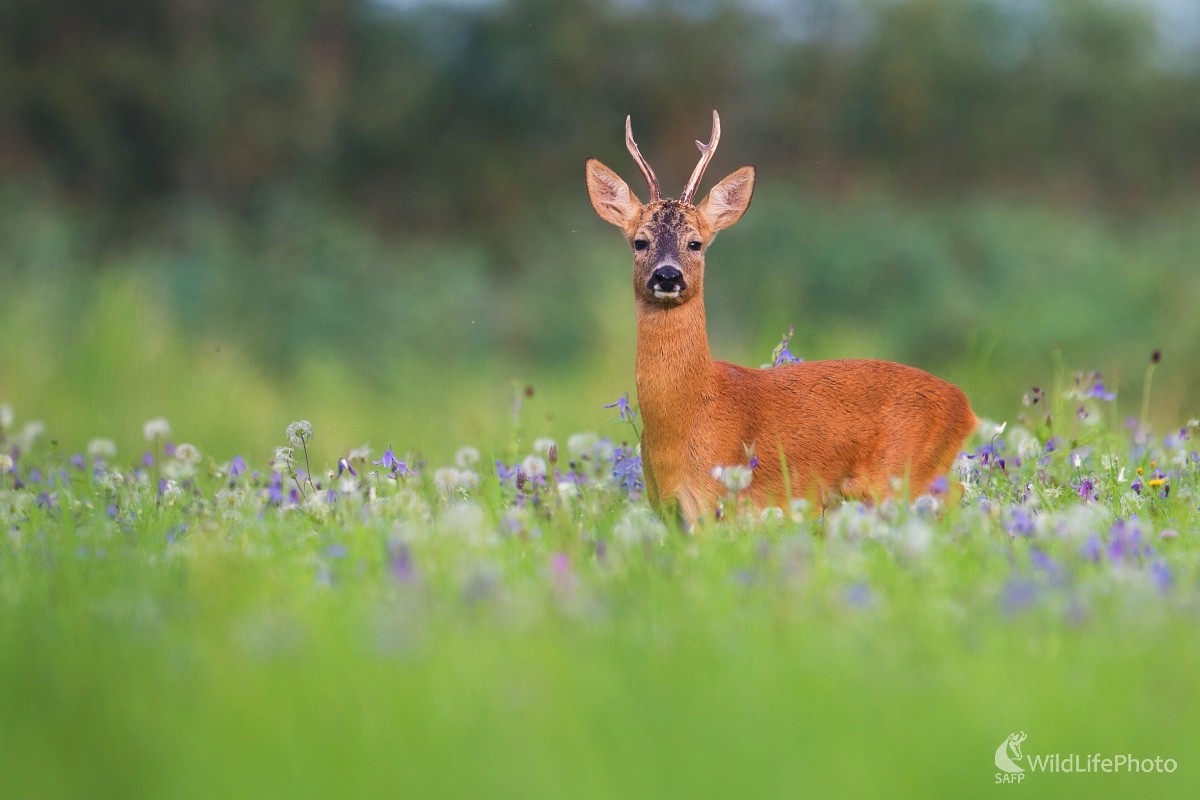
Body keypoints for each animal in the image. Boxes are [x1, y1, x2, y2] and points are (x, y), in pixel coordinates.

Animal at [585, 109, 979, 527]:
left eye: (696, 243)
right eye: (639, 242)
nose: (667, 276)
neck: (689, 412)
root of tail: (965, 408)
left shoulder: (719, 500)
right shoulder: (668, 511)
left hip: (903, 473)